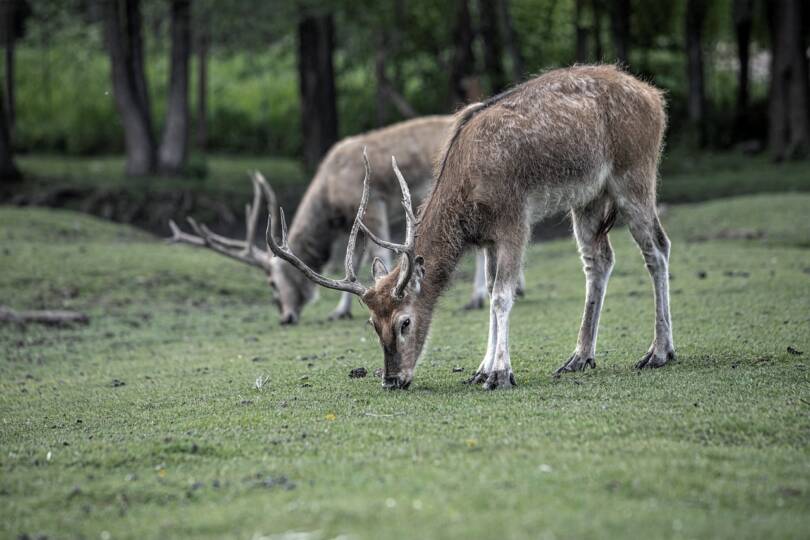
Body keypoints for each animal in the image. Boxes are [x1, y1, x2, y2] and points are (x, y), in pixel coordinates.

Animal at [170, 114, 498, 322]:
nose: (286, 317)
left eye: (272, 284)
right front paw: (340, 311)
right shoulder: (351, 222)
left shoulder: (372, 205)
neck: (329, 196)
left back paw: (476, 298)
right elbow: (353, 259)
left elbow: (377, 254)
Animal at [266, 65, 676, 388]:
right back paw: (580, 357)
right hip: (588, 198)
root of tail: (656, 97)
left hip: (635, 175)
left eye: (404, 322)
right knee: (599, 261)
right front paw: (481, 370)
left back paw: (659, 352)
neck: (467, 196)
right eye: (372, 325)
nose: (392, 380)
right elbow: (492, 290)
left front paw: (500, 374)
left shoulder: (514, 220)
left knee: (658, 247)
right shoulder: (488, 237)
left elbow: (501, 295)